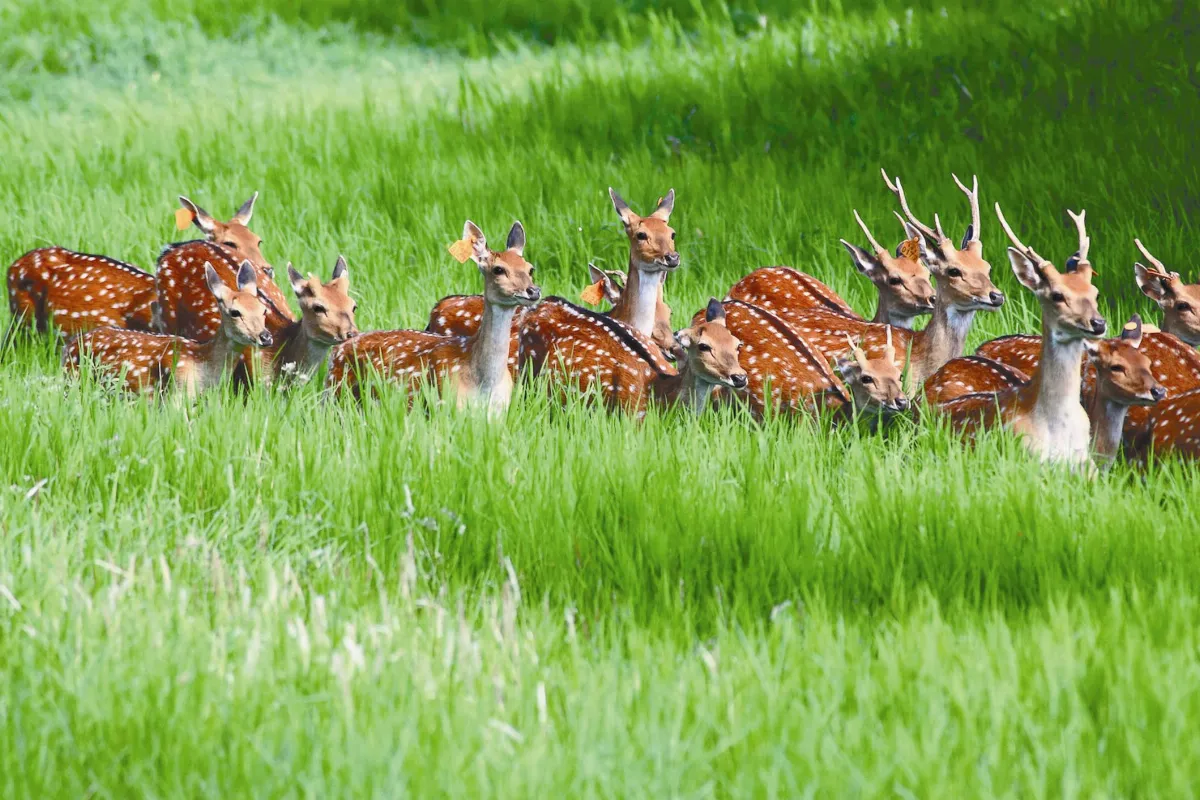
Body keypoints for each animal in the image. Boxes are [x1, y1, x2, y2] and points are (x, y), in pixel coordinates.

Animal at [63, 261, 272, 397]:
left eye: (263, 310)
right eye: (235, 312)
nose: (265, 337)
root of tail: (69, 346)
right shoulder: (177, 392)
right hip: (72, 379)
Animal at [326, 221, 539, 414]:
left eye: (530, 268)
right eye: (498, 270)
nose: (534, 291)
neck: (484, 383)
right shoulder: (446, 405)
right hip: (334, 394)